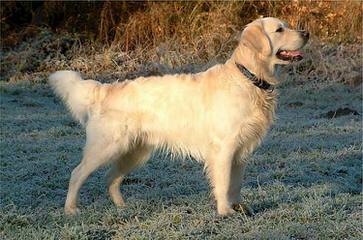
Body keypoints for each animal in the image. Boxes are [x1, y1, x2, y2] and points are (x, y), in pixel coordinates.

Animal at [49, 17, 310, 216]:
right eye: (279, 29)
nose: (306, 32)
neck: (249, 77)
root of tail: (105, 90)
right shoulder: (224, 148)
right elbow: (224, 183)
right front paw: (225, 212)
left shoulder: (242, 151)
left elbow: (235, 184)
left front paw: (239, 208)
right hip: (107, 146)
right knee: (77, 173)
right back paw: (71, 210)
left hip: (135, 152)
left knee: (111, 177)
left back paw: (122, 207)